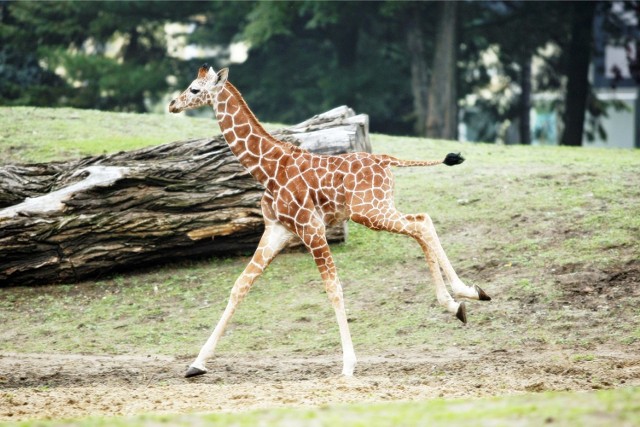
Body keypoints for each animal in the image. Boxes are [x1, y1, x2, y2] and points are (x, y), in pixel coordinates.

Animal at [169, 63, 490, 378]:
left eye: (194, 89)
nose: (173, 104)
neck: (268, 170)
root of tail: (387, 160)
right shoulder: (277, 231)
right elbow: (241, 285)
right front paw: (196, 364)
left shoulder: (311, 228)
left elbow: (333, 289)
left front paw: (348, 365)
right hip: (377, 208)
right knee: (421, 222)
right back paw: (458, 302)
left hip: (369, 211)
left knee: (420, 224)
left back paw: (465, 293)